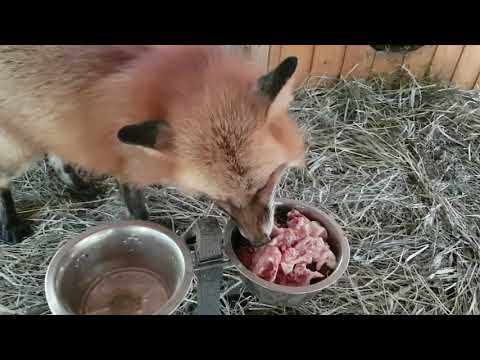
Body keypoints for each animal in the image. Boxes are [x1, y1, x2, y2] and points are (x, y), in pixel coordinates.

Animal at [0, 45, 306, 248]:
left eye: (265, 185)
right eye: (217, 199)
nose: (259, 242)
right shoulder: (125, 156)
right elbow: (138, 209)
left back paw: (78, 185)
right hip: (17, 147)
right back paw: (12, 225)